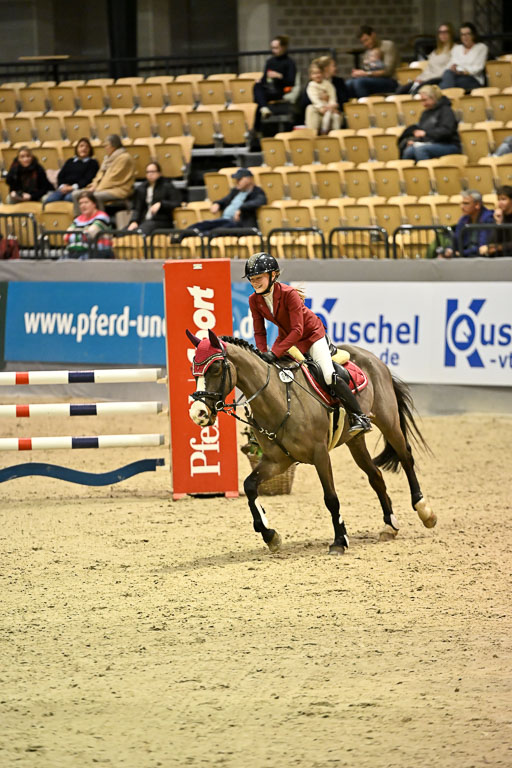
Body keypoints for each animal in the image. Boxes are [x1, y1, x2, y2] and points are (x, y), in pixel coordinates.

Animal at [187, 329, 437, 555]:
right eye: (193, 371)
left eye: (216, 369)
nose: (198, 413)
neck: (280, 399)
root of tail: (372, 357)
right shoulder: (276, 461)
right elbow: (249, 486)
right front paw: (270, 535)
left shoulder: (320, 455)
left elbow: (331, 498)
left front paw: (339, 541)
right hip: (355, 441)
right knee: (375, 476)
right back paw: (390, 526)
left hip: (389, 422)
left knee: (406, 458)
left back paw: (425, 511)